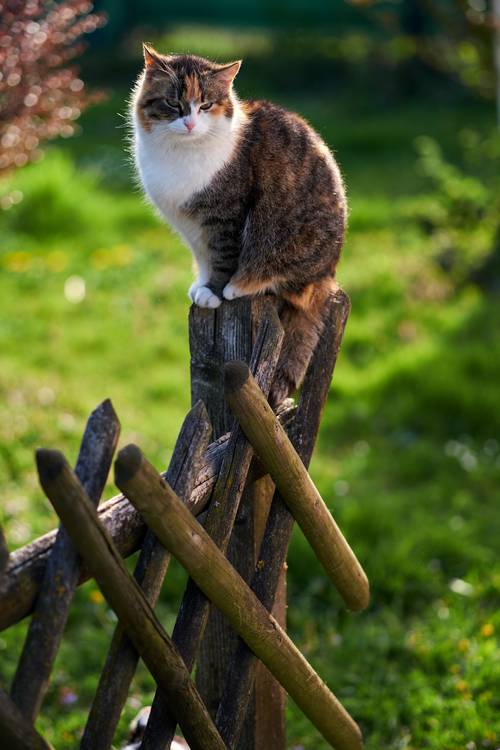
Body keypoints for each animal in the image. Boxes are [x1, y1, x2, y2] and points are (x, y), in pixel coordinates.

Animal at [131, 44, 346, 406]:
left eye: (205, 105)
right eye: (173, 103)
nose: (190, 123)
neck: (181, 152)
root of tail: (327, 276)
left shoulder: (225, 216)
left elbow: (222, 258)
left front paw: (214, 292)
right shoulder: (193, 229)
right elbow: (204, 258)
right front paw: (201, 285)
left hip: (287, 242)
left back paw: (243, 285)